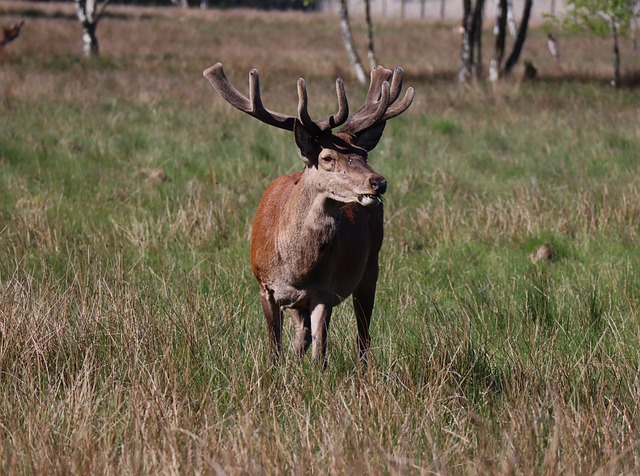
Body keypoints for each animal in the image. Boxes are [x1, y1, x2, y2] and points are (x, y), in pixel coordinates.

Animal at [205, 62, 416, 368]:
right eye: (327, 157)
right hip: (301, 300)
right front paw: (275, 371)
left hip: (371, 265)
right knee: (302, 335)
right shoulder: (265, 286)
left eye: (363, 154)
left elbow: (320, 353)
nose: (378, 181)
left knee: (362, 335)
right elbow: (275, 348)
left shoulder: (324, 290)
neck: (296, 267)